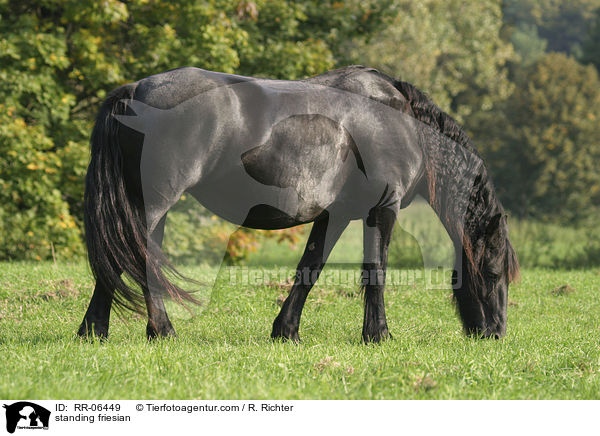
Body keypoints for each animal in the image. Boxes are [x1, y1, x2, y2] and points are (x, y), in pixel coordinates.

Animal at [78, 65, 520, 344]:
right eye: (494, 270)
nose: (496, 333)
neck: (398, 119)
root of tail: (135, 91)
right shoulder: (383, 209)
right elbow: (375, 271)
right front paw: (378, 335)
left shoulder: (334, 215)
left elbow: (310, 267)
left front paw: (286, 331)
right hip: (156, 203)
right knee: (135, 255)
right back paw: (161, 330)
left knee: (120, 258)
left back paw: (94, 330)